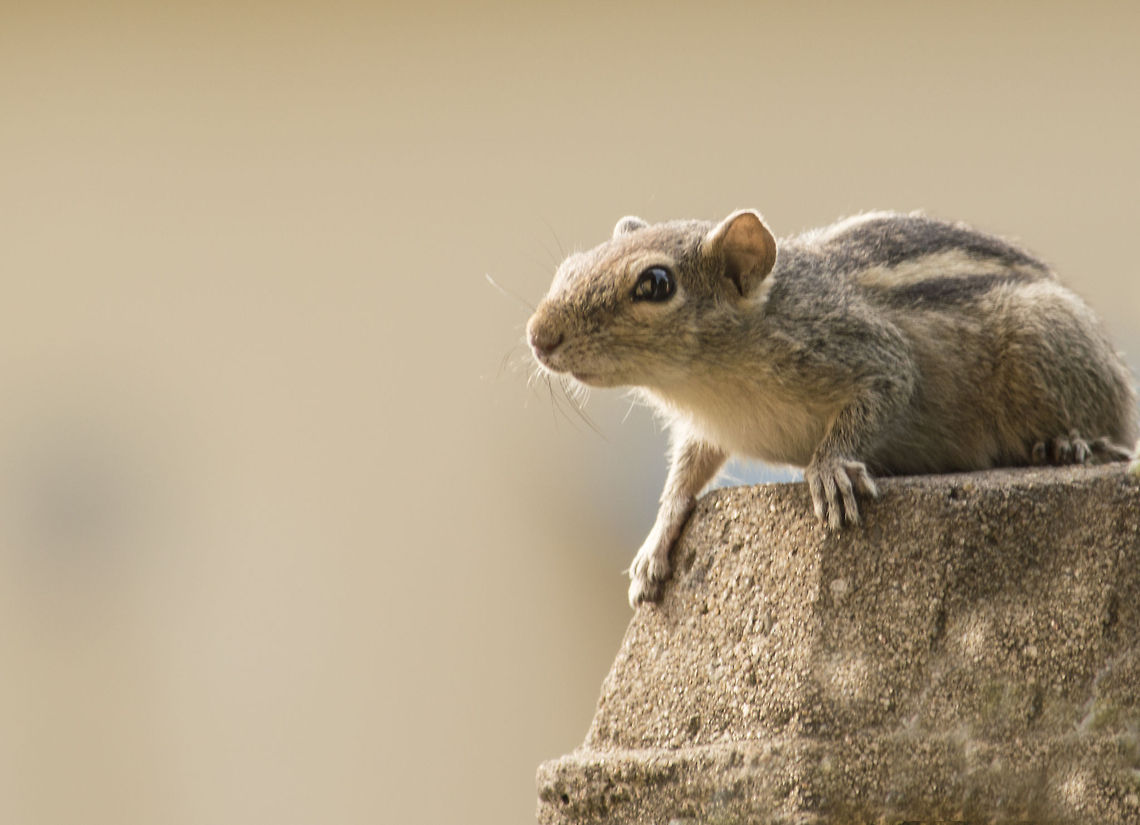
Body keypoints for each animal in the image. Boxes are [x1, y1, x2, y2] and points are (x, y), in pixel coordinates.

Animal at [526, 209, 1140, 607]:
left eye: (655, 283)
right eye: (571, 266)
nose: (538, 336)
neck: (710, 383)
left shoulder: (871, 354)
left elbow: (879, 396)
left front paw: (827, 470)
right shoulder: (707, 430)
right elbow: (685, 475)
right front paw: (656, 542)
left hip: (1046, 343)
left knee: (1113, 429)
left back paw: (1071, 443)